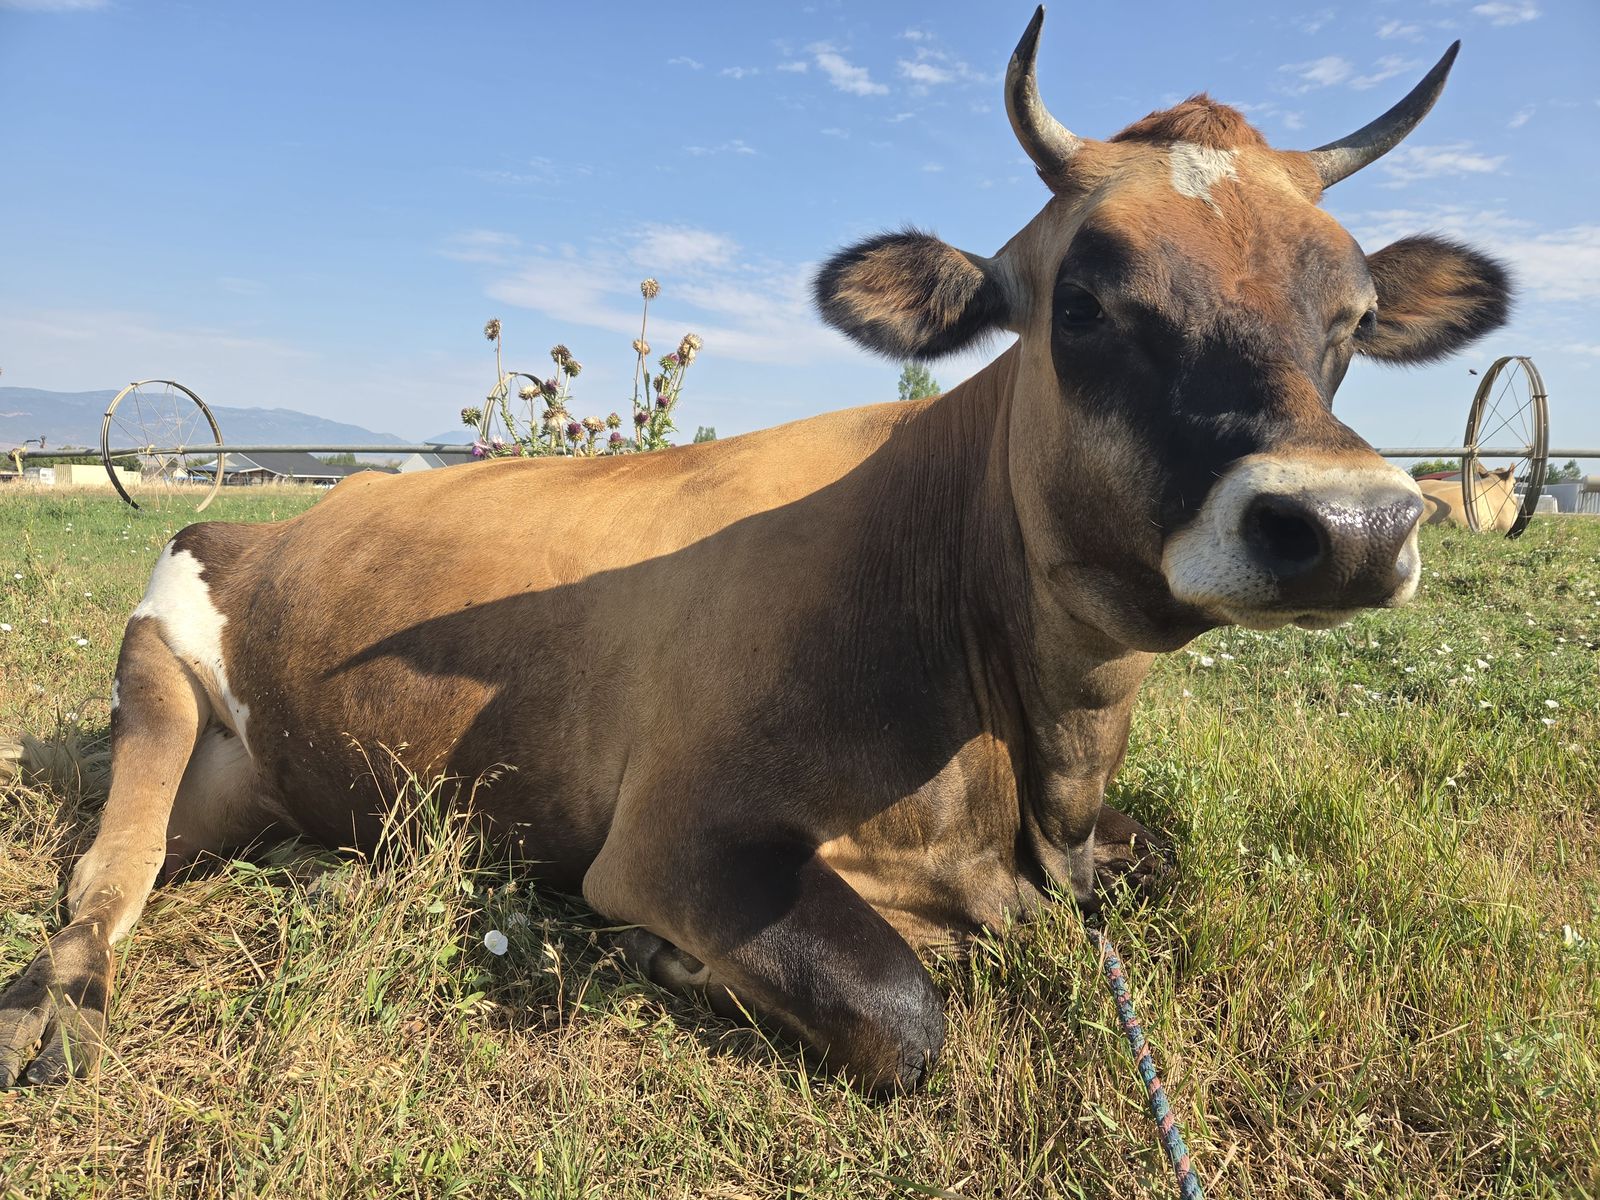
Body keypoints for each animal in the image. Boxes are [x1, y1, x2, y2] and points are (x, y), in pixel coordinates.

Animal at [0, 8, 1510, 1094]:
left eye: (1352, 314)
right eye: (1081, 300)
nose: (1350, 524)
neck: (1027, 768)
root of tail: (285, 510)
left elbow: (1161, 862)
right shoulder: (677, 840)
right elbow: (908, 1013)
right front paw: (668, 964)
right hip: (156, 684)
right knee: (97, 894)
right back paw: (66, 1015)